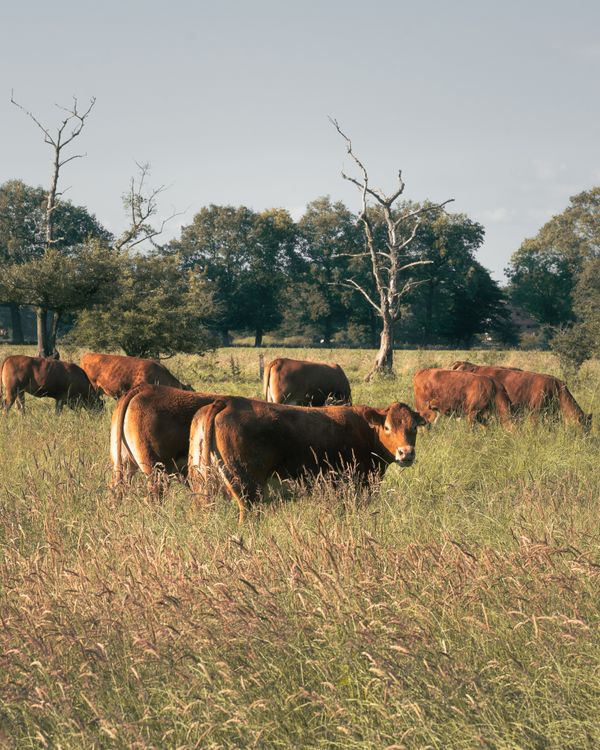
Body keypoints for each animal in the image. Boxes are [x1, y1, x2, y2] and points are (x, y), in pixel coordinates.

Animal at [188, 396, 427, 524]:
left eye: (414, 427)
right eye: (387, 427)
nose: (406, 453)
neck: (365, 431)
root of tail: (227, 401)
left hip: (201, 483)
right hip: (248, 488)